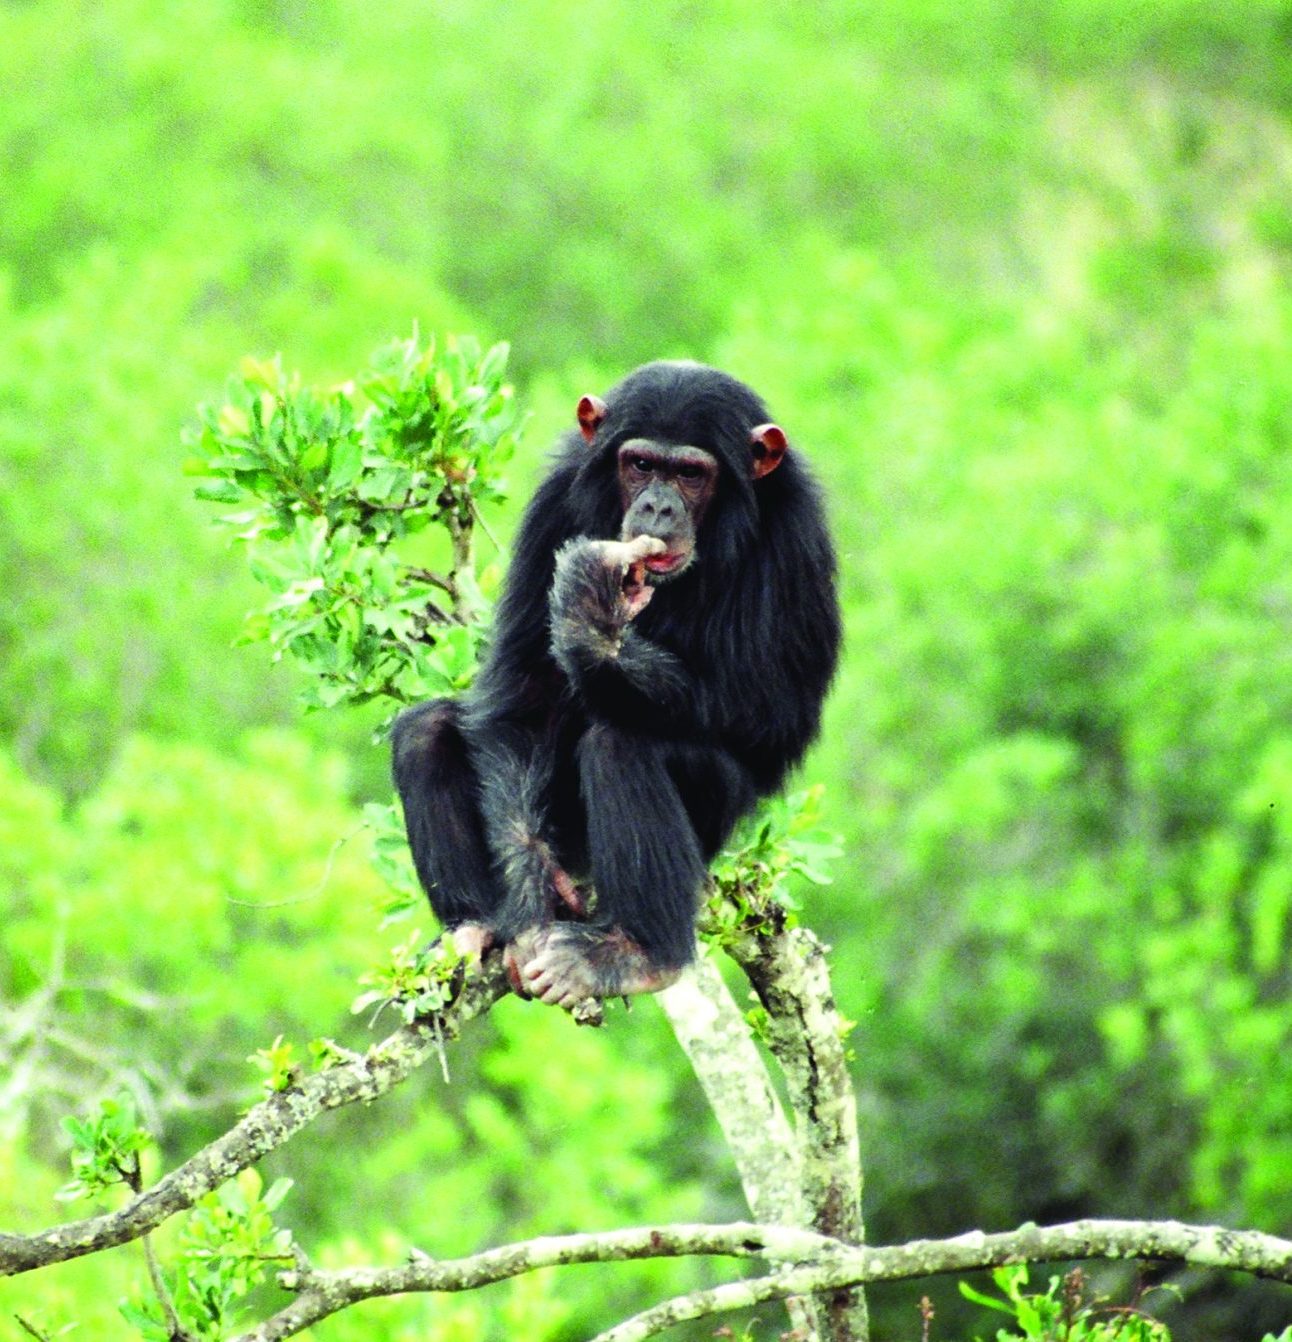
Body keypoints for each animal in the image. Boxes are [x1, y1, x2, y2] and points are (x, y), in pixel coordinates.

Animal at [389, 356, 842, 1009]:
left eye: (691, 473)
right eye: (641, 465)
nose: (657, 508)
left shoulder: (798, 534)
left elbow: (774, 709)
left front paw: (588, 614)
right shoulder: (552, 503)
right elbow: (522, 694)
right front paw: (528, 912)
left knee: (621, 744)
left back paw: (639, 956)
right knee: (424, 731)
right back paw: (473, 926)